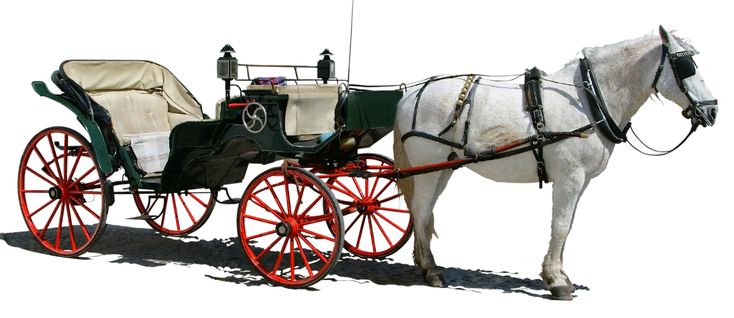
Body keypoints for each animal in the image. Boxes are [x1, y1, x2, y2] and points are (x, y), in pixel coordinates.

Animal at [394, 26, 720, 300]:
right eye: (686, 67)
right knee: (420, 211)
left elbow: (569, 225)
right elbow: (561, 225)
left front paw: (559, 274)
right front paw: (557, 281)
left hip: (442, 168)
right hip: (427, 164)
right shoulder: (570, 177)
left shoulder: (581, 181)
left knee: (425, 211)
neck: (589, 100)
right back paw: (432, 271)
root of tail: (411, 93)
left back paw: (423, 262)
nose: (713, 110)